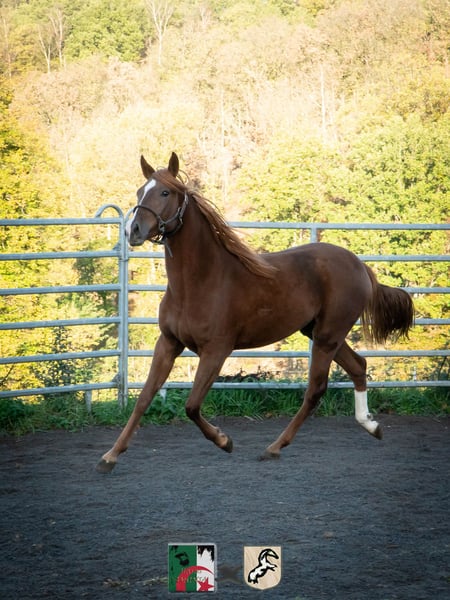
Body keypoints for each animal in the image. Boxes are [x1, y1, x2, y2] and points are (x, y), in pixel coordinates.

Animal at [96, 152, 414, 473]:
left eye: (165, 192)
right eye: (140, 191)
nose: (133, 230)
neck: (200, 282)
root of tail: (360, 266)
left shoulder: (216, 351)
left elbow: (192, 405)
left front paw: (225, 441)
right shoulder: (168, 343)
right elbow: (144, 398)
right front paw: (110, 456)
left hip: (327, 336)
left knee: (316, 389)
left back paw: (274, 447)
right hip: (320, 333)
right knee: (358, 366)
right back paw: (371, 425)